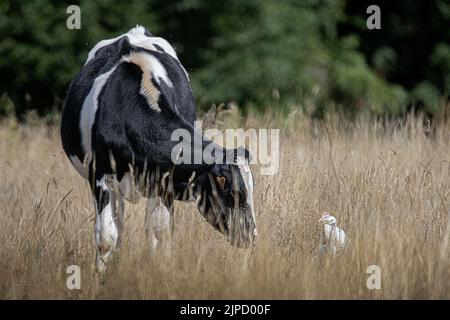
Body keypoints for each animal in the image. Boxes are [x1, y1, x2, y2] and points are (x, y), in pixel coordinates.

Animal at [60, 25, 256, 272]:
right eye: (233, 192)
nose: (251, 236)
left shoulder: (165, 181)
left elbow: (160, 232)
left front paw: (160, 269)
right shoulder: (100, 175)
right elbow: (106, 235)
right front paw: (101, 275)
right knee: (119, 223)